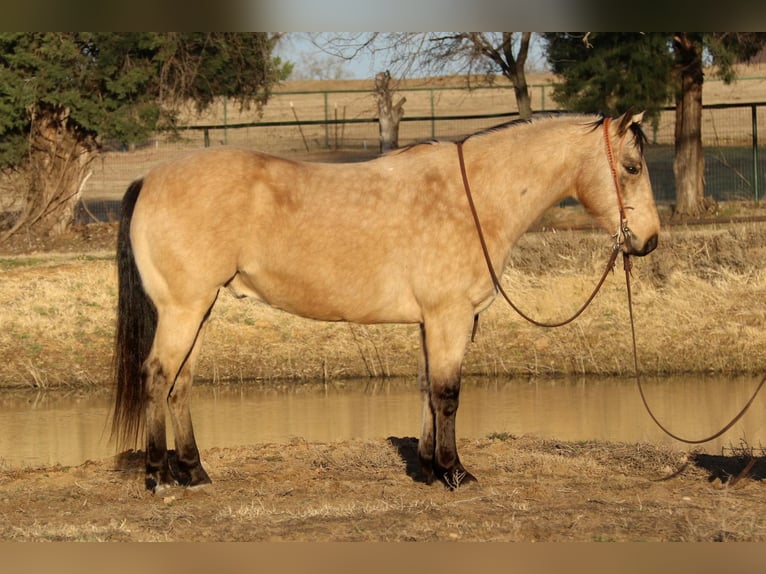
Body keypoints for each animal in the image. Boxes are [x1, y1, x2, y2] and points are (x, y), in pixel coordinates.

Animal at [111, 111, 664, 496]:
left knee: (181, 383)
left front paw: (427, 468)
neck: (474, 198)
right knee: (158, 376)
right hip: (184, 309)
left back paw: (195, 472)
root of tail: (149, 180)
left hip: (199, 310)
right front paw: (454, 473)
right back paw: (159, 476)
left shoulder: (431, 321)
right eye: (632, 167)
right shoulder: (449, 317)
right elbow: (447, 394)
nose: (649, 241)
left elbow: (426, 388)